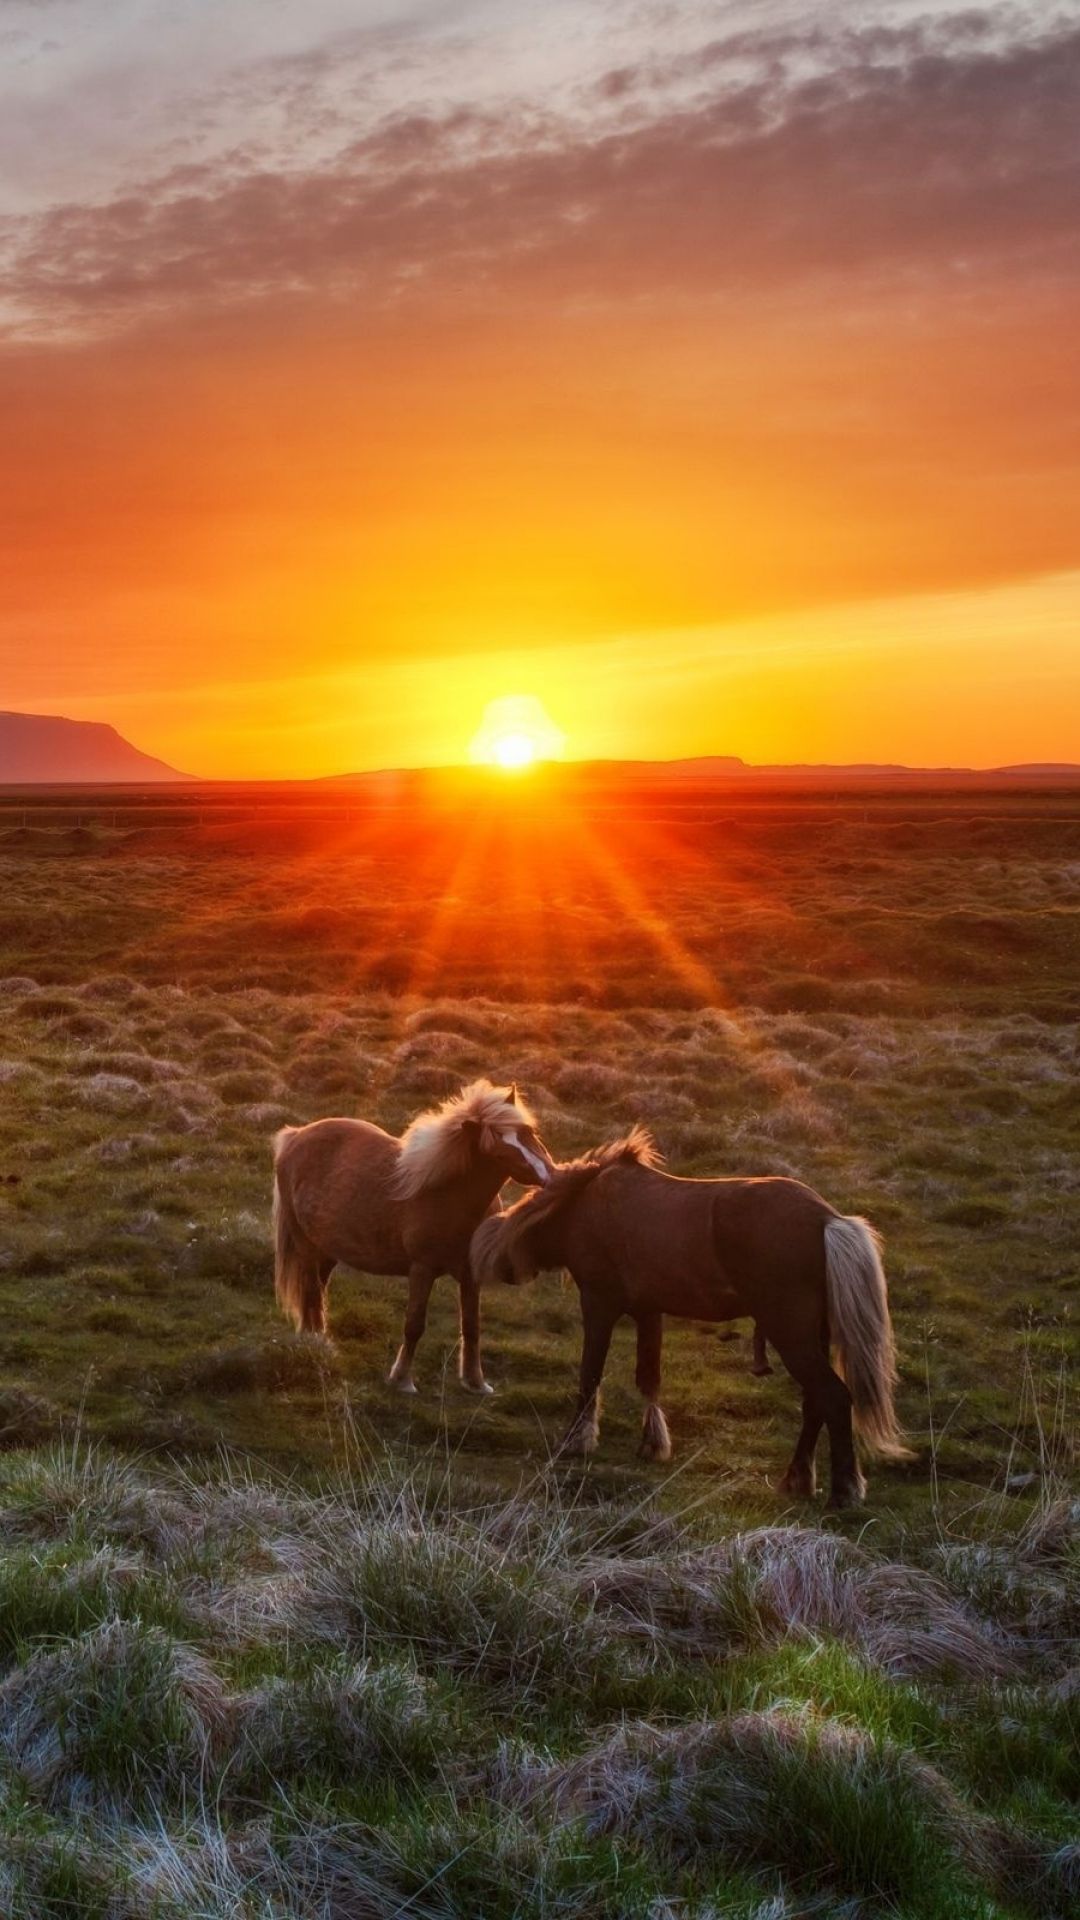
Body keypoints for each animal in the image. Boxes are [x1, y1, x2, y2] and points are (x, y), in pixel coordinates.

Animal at [272, 1079, 554, 1394]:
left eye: (528, 1132)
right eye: (498, 1152)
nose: (550, 1176)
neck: (449, 1194)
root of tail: (295, 1136)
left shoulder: (470, 1275)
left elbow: (471, 1327)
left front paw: (475, 1382)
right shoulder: (422, 1269)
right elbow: (414, 1324)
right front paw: (402, 1380)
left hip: (327, 1250)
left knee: (316, 1294)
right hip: (305, 1246)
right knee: (310, 1293)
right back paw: (317, 1346)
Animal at [471, 1131, 911, 1505]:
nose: (505, 1271)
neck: (583, 1206)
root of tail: (827, 1220)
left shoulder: (599, 1304)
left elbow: (590, 1375)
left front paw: (576, 1441)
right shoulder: (649, 1311)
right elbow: (649, 1379)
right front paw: (653, 1443)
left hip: (791, 1333)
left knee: (834, 1398)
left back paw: (844, 1491)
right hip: (811, 1335)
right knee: (815, 1401)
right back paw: (798, 1479)